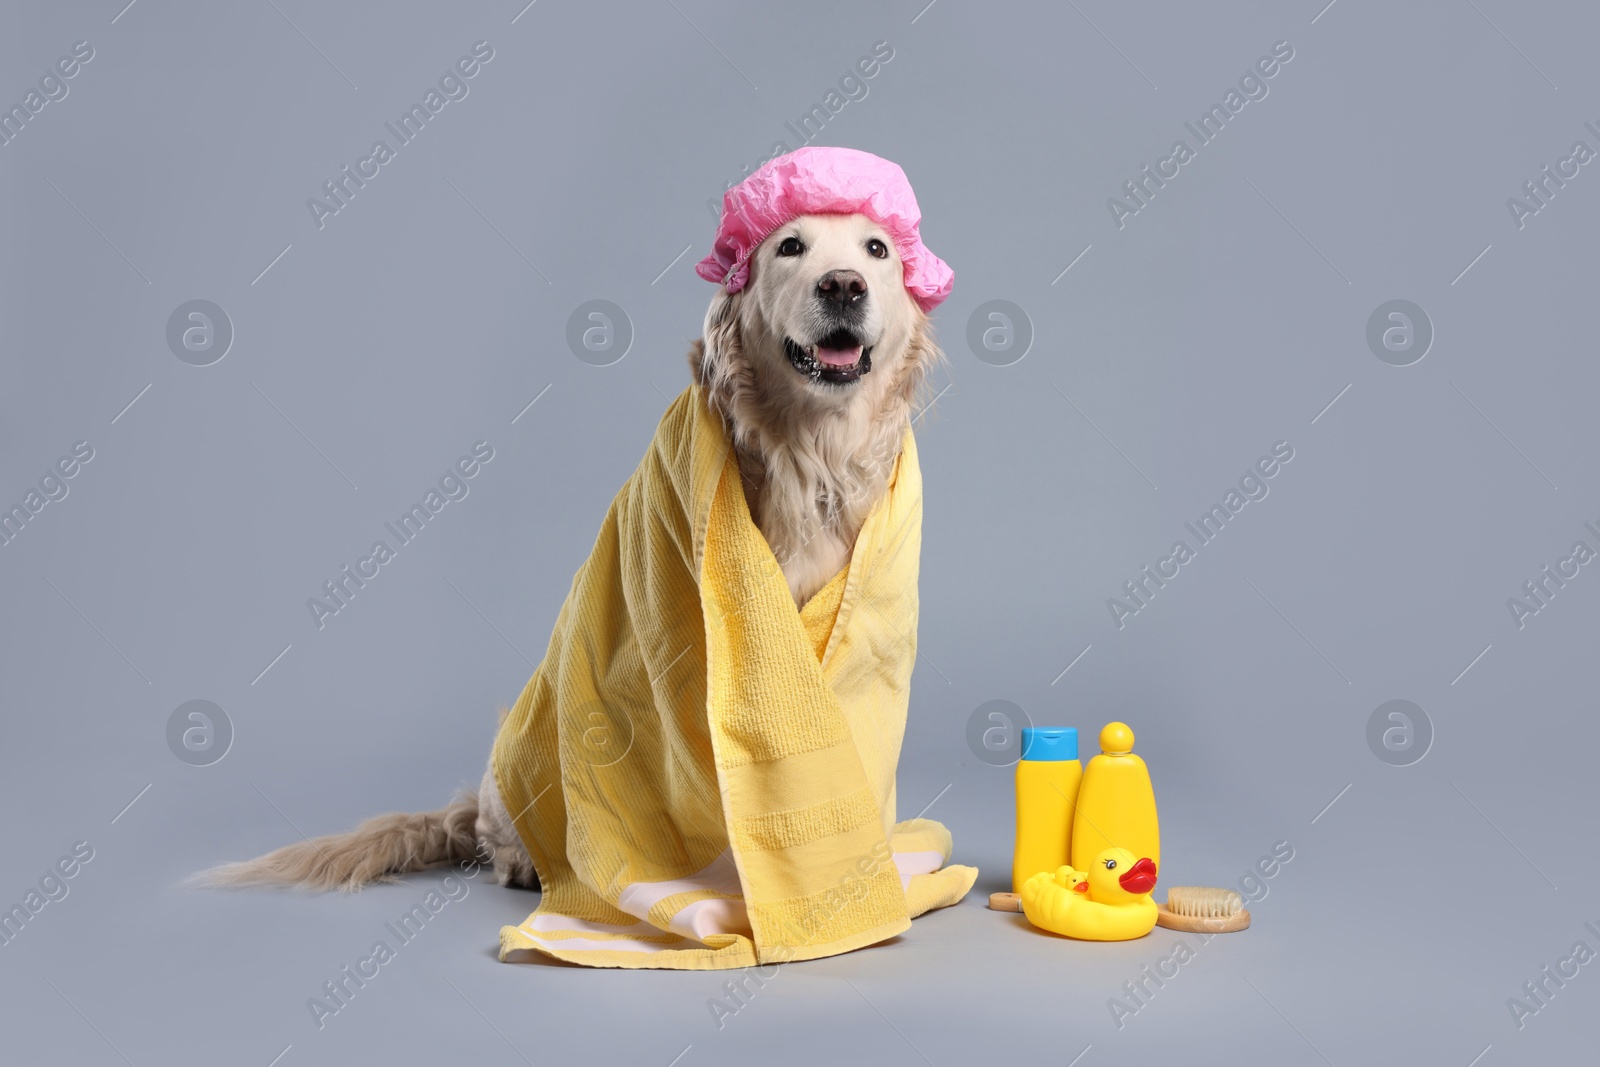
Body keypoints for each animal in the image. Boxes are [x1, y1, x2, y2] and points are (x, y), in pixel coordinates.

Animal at [204, 207, 940, 895]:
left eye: (877, 250)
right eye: (790, 246)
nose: (842, 285)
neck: (810, 460)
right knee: (497, 838)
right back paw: (527, 864)